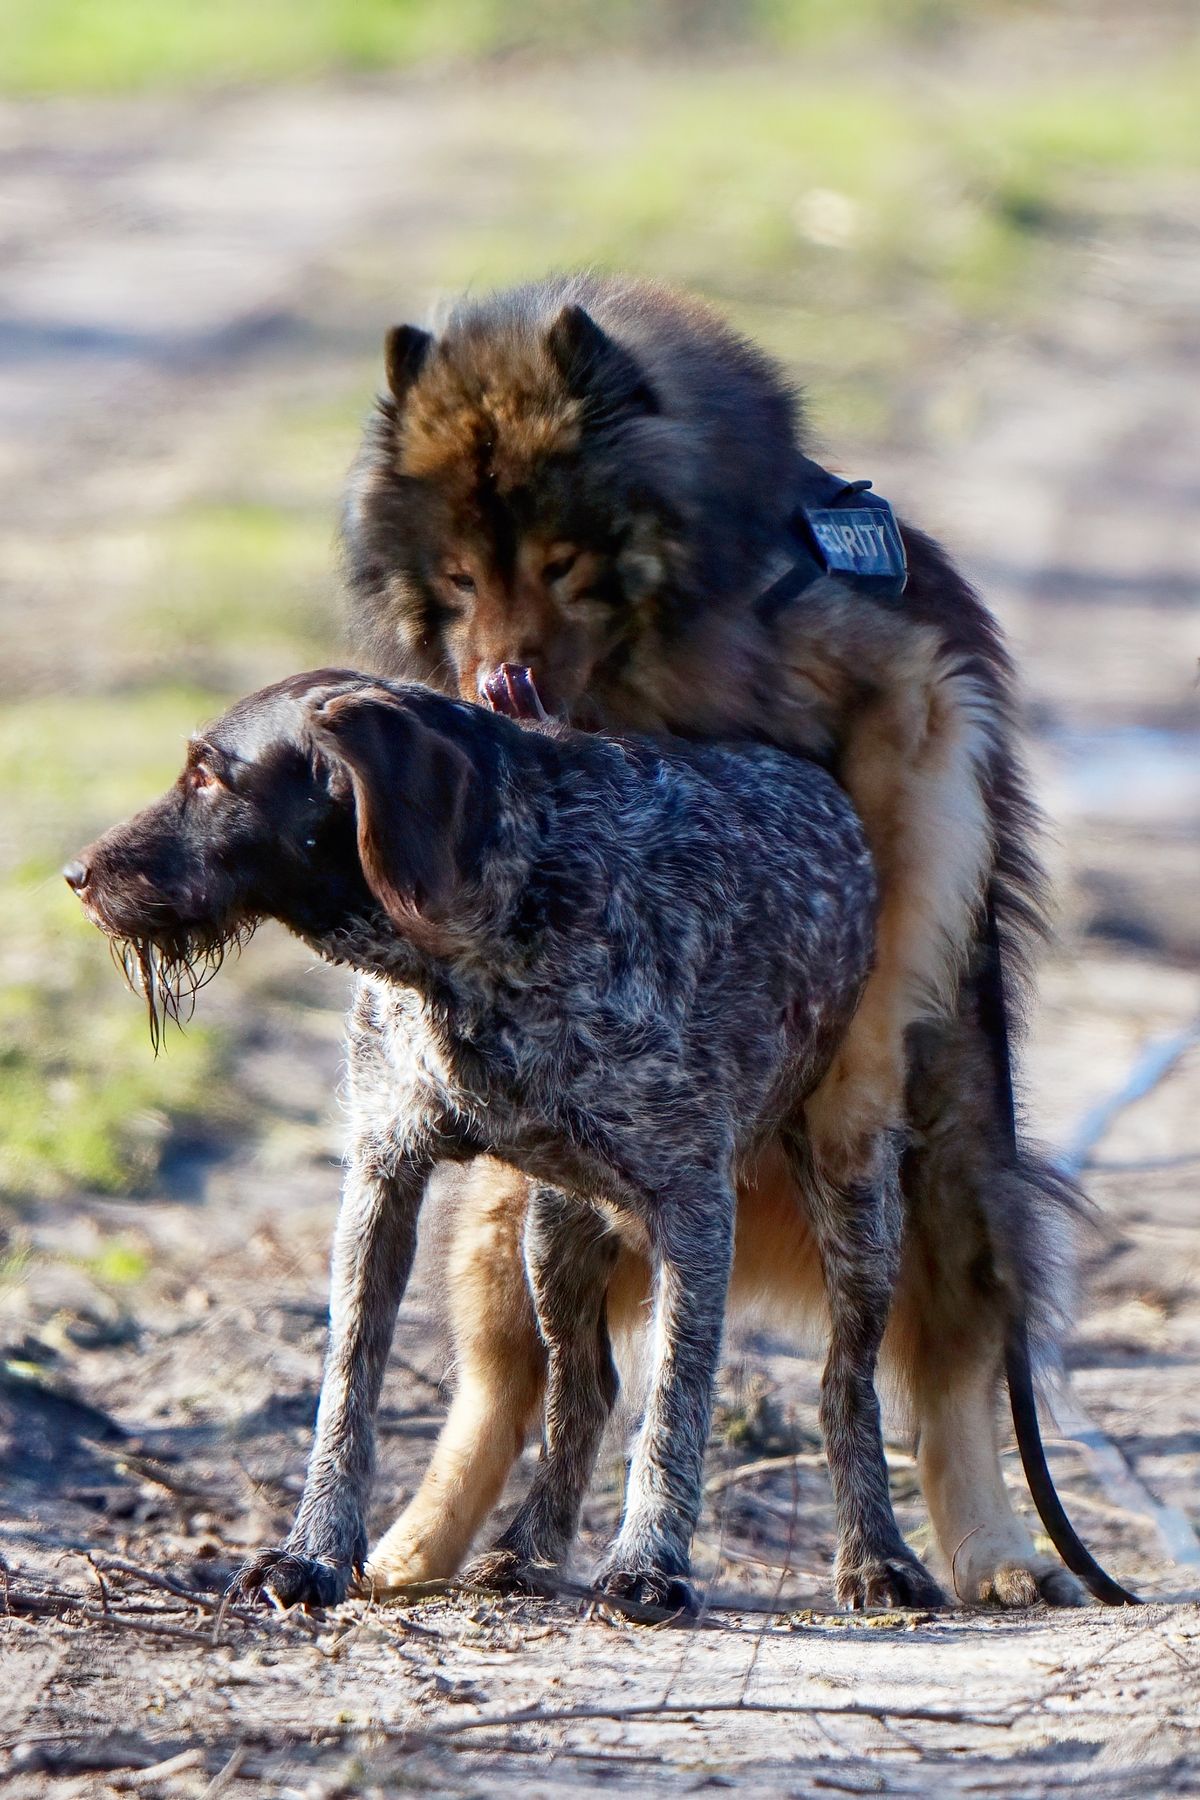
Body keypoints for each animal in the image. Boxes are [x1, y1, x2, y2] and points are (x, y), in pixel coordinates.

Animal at [67, 669, 949, 1612]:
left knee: (843, 1383)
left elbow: (675, 1403)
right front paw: (313, 1550)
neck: (475, 945)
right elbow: (348, 1387)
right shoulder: (381, 1177)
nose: (75, 875)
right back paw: (527, 1549)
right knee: (585, 1387)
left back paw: (877, 1554)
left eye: (208, 776)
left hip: (853, 1198)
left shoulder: (694, 1204)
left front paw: (650, 1561)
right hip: (557, 1226)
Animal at [338, 273, 1086, 1612]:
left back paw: (987, 1556)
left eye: (563, 563)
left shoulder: (906, 703)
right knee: (523, 1382)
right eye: (460, 579)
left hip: (946, 1174)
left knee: (927, 1379)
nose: (496, 679)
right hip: (508, 1215)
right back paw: (422, 1548)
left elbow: (880, 891)